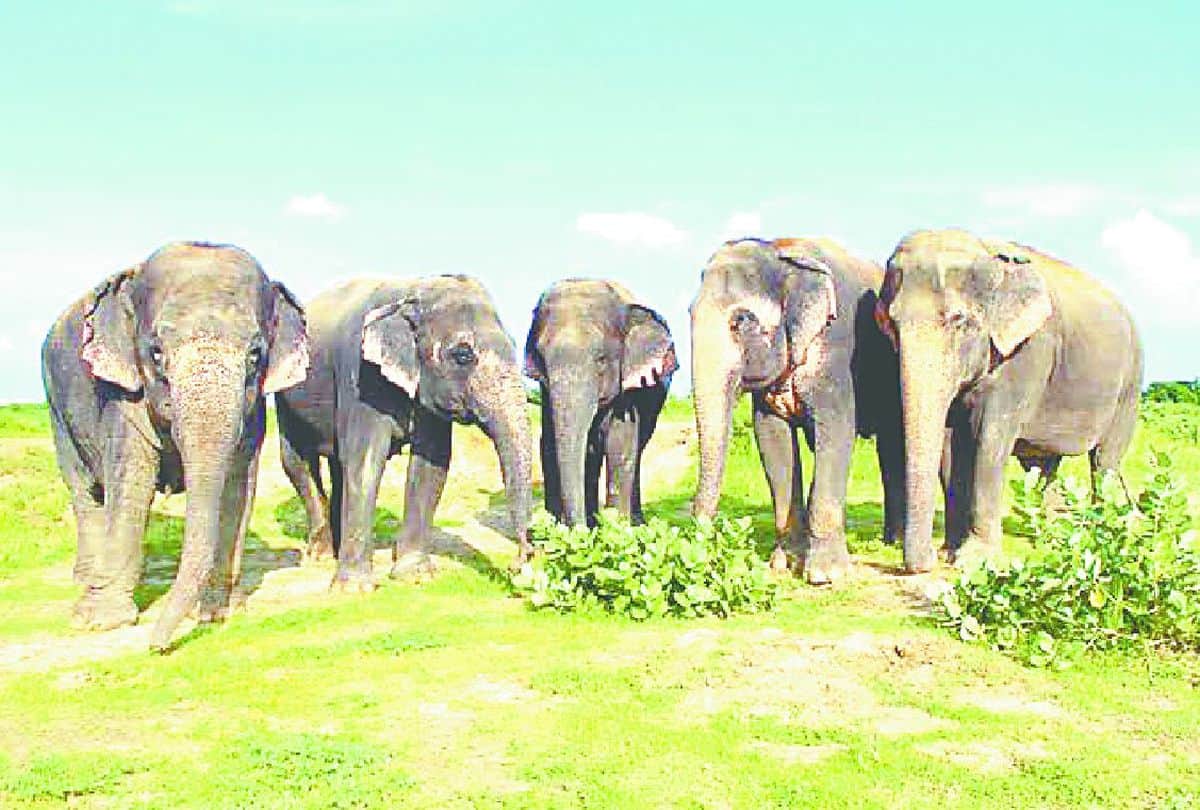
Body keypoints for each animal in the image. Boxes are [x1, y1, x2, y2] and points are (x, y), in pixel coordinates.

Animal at [41, 242, 310, 651]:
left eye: (255, 354)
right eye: (155, 352)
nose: (156, 645)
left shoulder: (253, 412)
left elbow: (237, 485)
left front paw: (219, 614)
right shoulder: (123, 394)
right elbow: (131, 483)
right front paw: (101, 623)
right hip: (56, 408)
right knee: (85, 493)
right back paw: (84, 584)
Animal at [276, 274, 532, 589]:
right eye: (462, 355)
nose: (519, 563)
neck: (413, 291)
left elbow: (431, 464)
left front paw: (416, 575)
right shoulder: (361, 375)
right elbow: (365, 459)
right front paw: (354, 589)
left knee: (337, 466)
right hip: (285, 392)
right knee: (296, 461)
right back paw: (321, 556)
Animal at [524, 279, 675, 526]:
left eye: (601, 359)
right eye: (541, 359)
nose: (577, 529)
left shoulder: (629, 383)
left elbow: (619, 444)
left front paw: (617, 529)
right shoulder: (546, 391)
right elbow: (547, 443)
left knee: (637, 451)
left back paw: (635, 522)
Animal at [690, 238, 904, 584]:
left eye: (742, 320)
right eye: (689, 312)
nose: (706, 552)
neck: (782, 254)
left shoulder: (837, 348)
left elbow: (837, 429)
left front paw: (826, 575)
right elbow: (773, 439)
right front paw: (783, 565)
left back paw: (894, 543)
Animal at [875, 228, 1143, 573]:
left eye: (959, 320)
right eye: (891, 324)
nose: (928, 559)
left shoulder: (1027, 353)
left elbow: (990, 438)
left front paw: (975, 560)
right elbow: (950, 444)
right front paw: (952, 552)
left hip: (1130, 386)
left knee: (1104, 461)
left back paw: (1101, 530)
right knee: (1043, 466)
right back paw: (1050, 533)